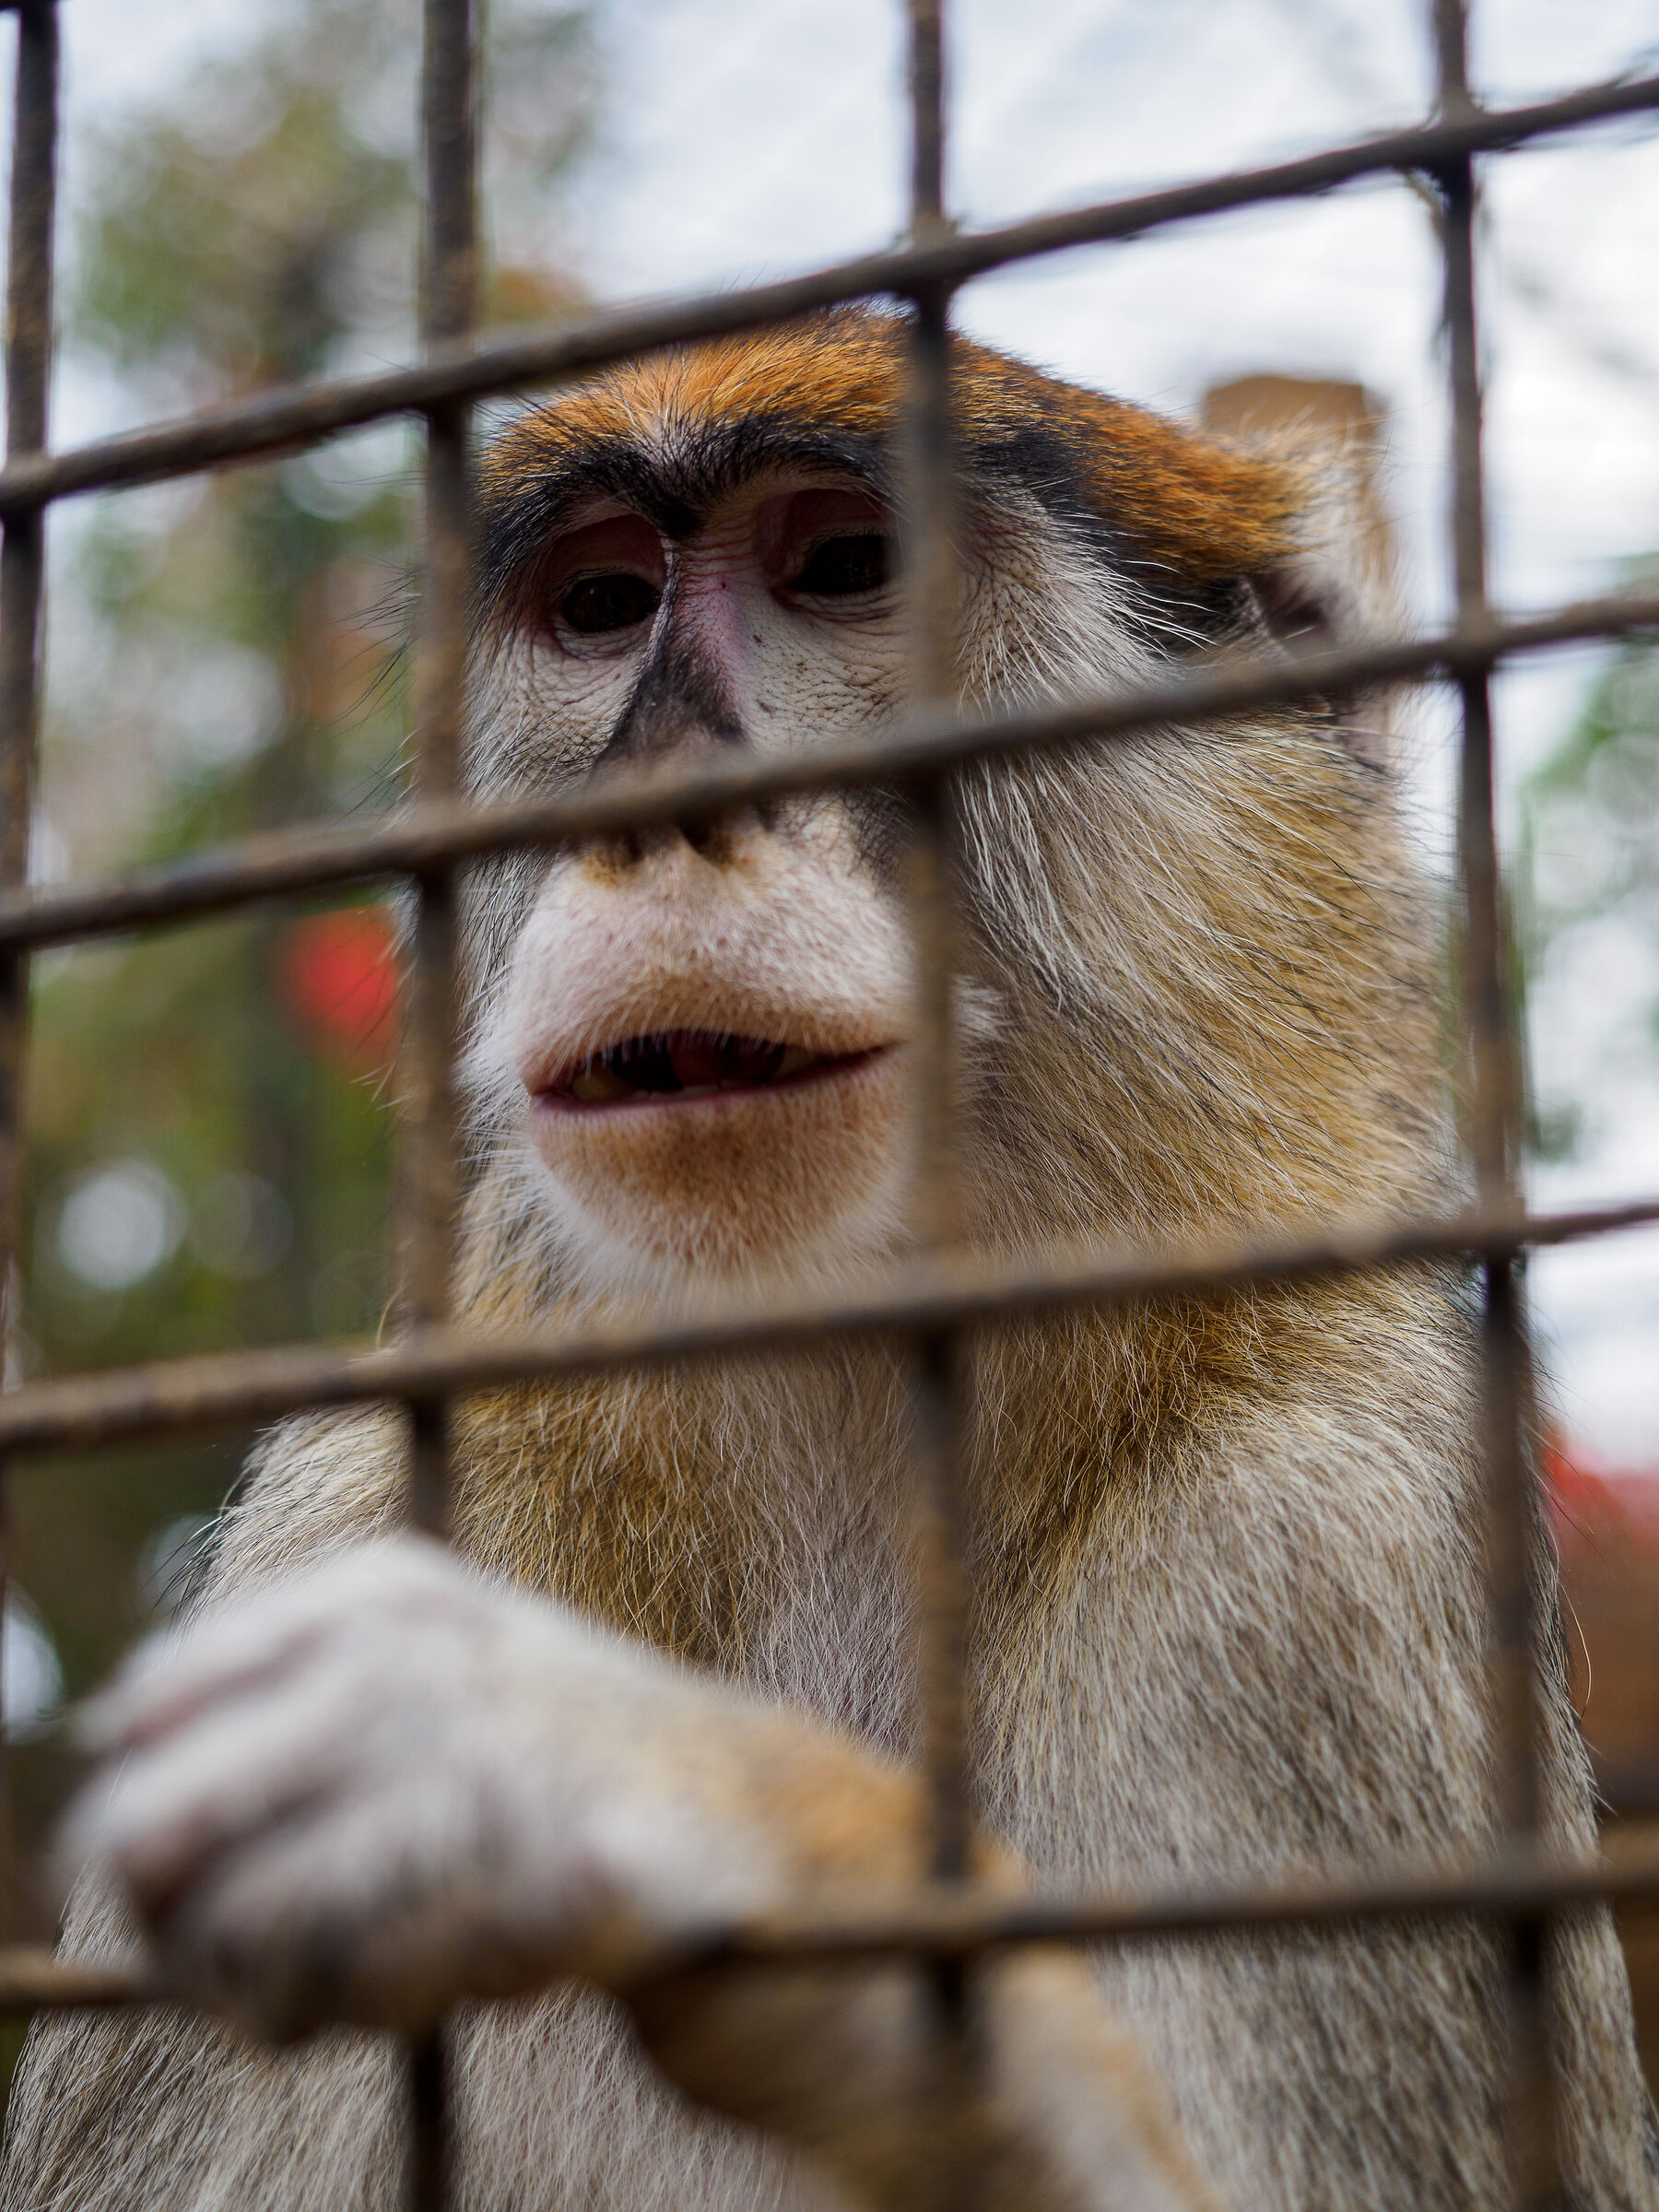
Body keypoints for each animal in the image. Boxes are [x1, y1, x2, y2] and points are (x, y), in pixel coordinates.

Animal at [3, 306, 1656, 2212]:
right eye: (603, 603)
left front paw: (692, 1794)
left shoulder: (1321, 1546)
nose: (664, 807)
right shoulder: (336, 1518)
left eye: (844, 569)